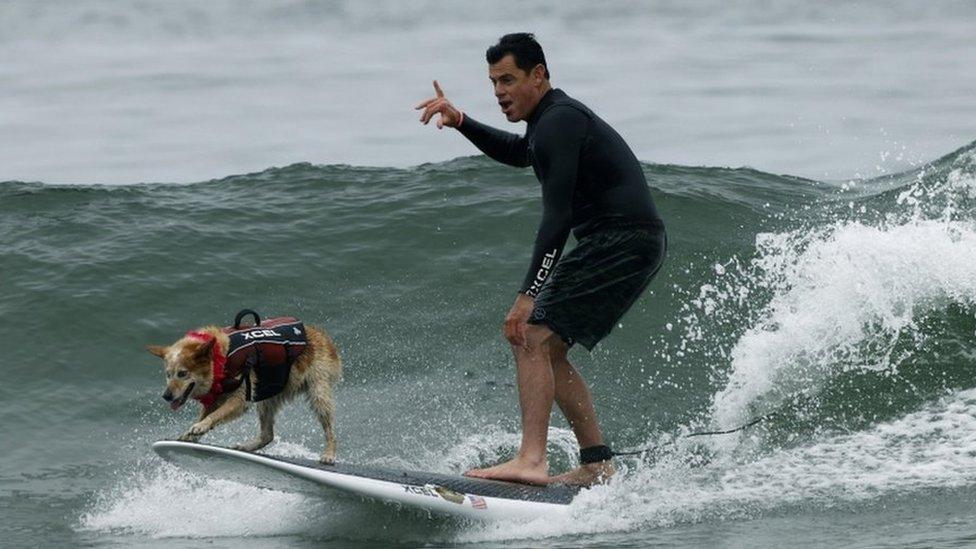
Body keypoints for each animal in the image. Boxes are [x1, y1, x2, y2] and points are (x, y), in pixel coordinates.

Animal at [145, 310, 344, 460]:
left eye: (182, 373)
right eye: (168, 374)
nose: (166, 396)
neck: (221, 358)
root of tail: (322, 336)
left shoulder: (240, 398)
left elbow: (216, 415)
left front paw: (200, 426)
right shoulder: (216, 397)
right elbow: (205, 415)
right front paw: (190, 434)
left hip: (318, 392)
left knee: (329, 428)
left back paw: (329, 453)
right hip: (266, 398)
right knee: (267, 435)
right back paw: (245, 447)